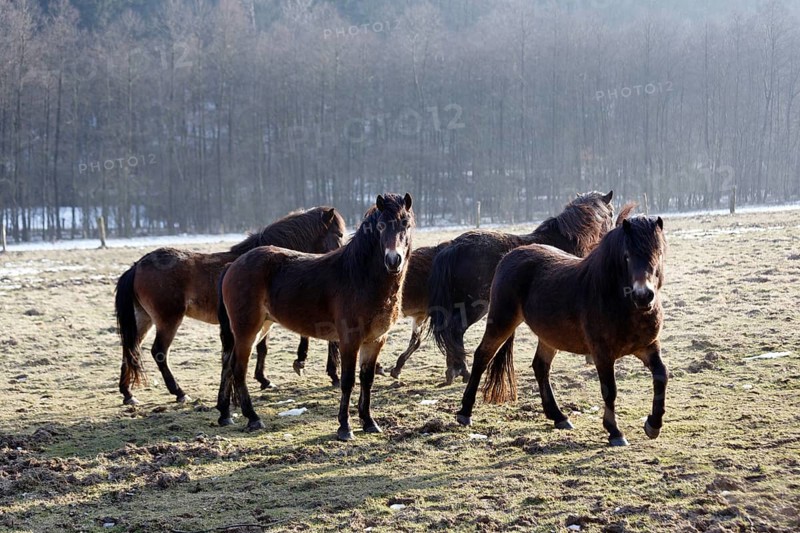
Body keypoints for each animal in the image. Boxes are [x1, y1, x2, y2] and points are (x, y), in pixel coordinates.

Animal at [114, 207, 345, 405]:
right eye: (339, 234)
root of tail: (137, 266)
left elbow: (262, 348)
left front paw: (264, 379)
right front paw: (308, 365)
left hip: (144, 318)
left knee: (131, 348)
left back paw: (128, 394)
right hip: (168, 320)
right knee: (159, 352)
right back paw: (179, 392)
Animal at [216, 193, 414, 439]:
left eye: (406, 224)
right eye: (380, 226)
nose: (393, 260)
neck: (359, 277)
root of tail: (233, 264)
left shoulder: (375, 340)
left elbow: (367, 380)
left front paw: (369, 422)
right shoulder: (350, 340)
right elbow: (348, 381)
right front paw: (344, 428)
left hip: (260, 327)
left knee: (228, 365)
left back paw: (226, 415)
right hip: (246, 330)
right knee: (238, 369)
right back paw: (253, 418)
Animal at [426, 191, 624, 384]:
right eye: (611, 213)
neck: (571, 240)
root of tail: (453, 247)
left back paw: (452, 371)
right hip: (475, 306)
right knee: (456, 330)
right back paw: (463, 372)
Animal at [457, 215, 667, 447]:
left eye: (658, 253)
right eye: (627, 256)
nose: (643, 295)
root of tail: (509, 257)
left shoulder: (647, 347)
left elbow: (661, 376)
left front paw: (653, 424)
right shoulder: (602, 353)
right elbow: (609, 390)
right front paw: (615, 433)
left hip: (548, 336)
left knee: (540, 366)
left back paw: (558, 417)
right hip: (502, 322)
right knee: (482, 357)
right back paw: (464, 413)